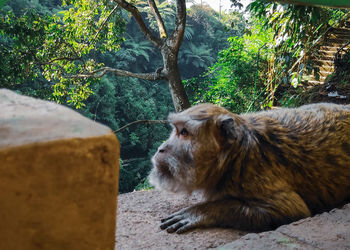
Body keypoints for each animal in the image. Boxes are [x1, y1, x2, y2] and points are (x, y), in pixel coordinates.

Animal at [148, 102, 350, 233]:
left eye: (184, 132)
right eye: (176, 130)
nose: (161, 149)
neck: (234, 157)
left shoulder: (250, 174)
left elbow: (292, 210)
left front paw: (201, 211)